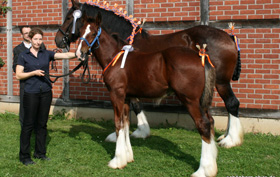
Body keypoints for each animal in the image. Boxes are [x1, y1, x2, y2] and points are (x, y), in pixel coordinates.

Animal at [55, 0, 243, 148]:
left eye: (70, 17)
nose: (58, 40)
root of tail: (229, 37)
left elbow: (134, 106)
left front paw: (136, 132)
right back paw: (225, 136)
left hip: (221, 82)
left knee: (232, 103)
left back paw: (230, 140)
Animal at [76, 12, 217, 177]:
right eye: (79, 32)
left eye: (93, 33)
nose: (80, 53)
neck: (114, 57)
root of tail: (200, 57)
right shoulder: (126, 98)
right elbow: (125, 124)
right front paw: (127, 157)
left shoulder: (116, 95)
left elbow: (118, 124)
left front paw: (117, 161)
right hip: (201, 102)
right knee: (210, 122)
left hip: (190, 101)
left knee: (203, 125)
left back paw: (203, 170)